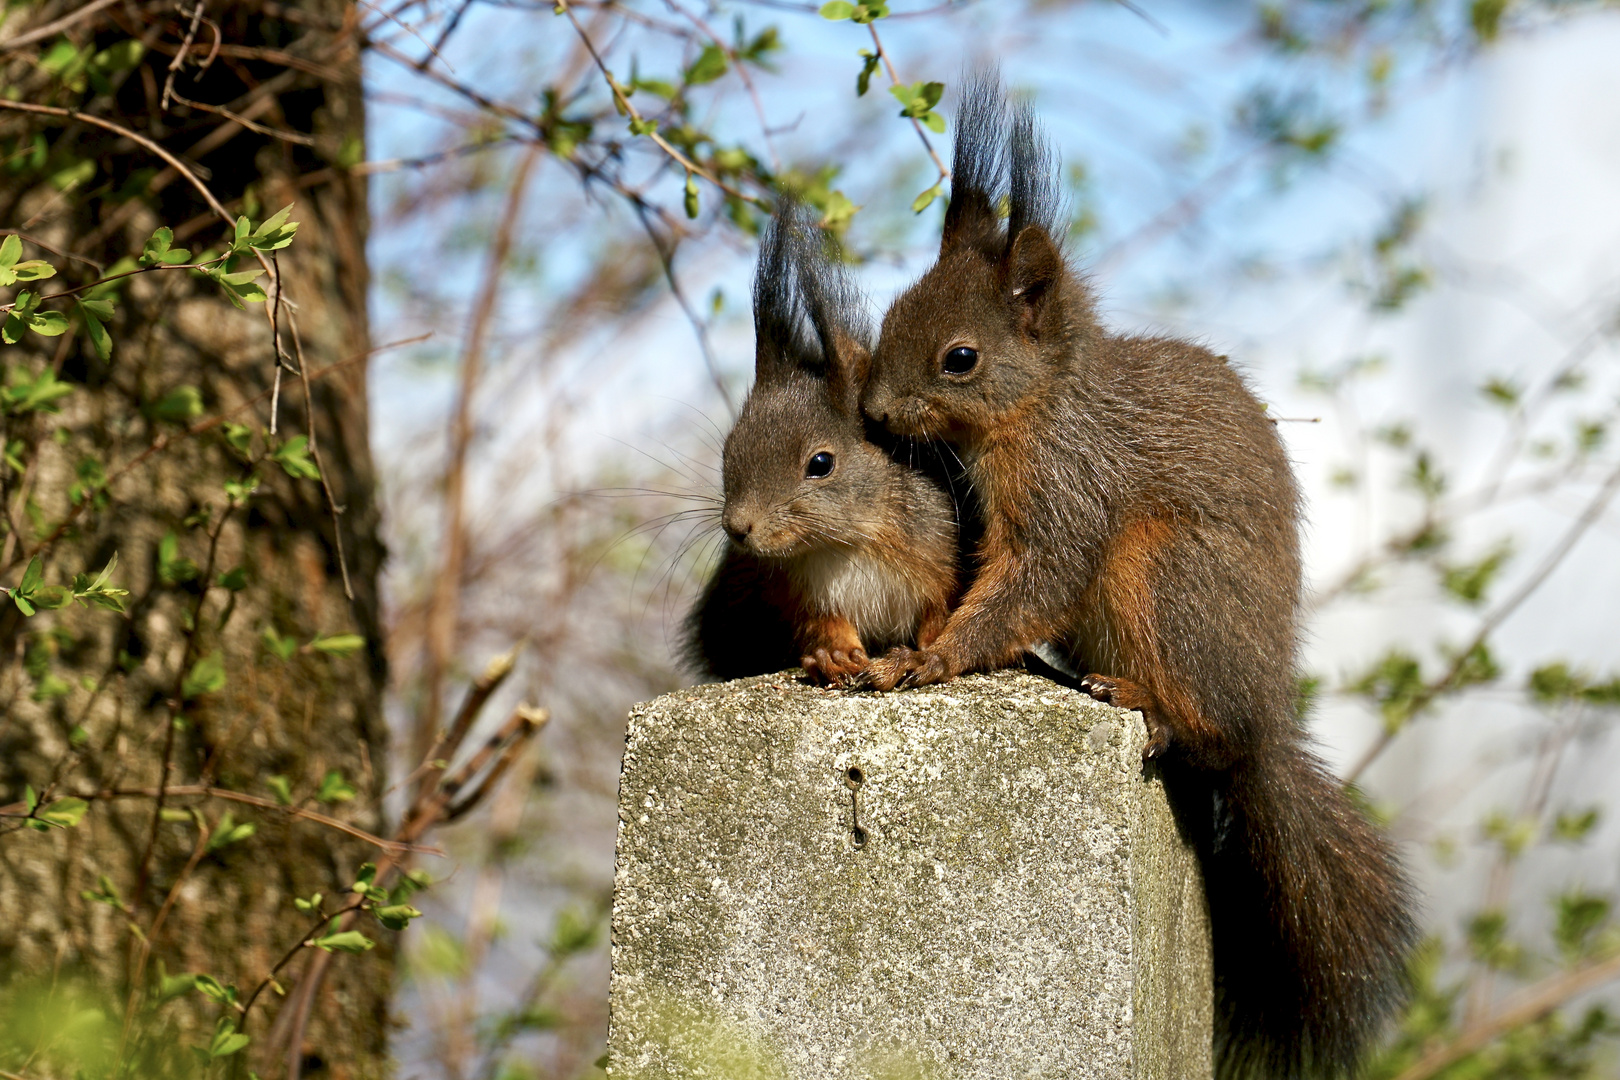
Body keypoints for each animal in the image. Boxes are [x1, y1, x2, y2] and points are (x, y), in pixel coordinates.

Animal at [683, 199, 959, 689]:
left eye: (821, 463)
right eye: (728, 451)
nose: (737, 528)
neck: (844, 543)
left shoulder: (938, 547)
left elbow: (937, 610)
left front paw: (925, 652)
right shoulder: (792, 592)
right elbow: (823, 624)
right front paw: (833, 655)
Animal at [861, 78, 1419, 1080]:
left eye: (960, 358)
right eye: (889, 318)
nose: (875, 411)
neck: (1044, 404)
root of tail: (1266, 722)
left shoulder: (1072, 493)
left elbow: (1031, 581)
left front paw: (932, 659)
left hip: (1164, 573)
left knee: (1205, 734)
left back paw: (1146, 704)